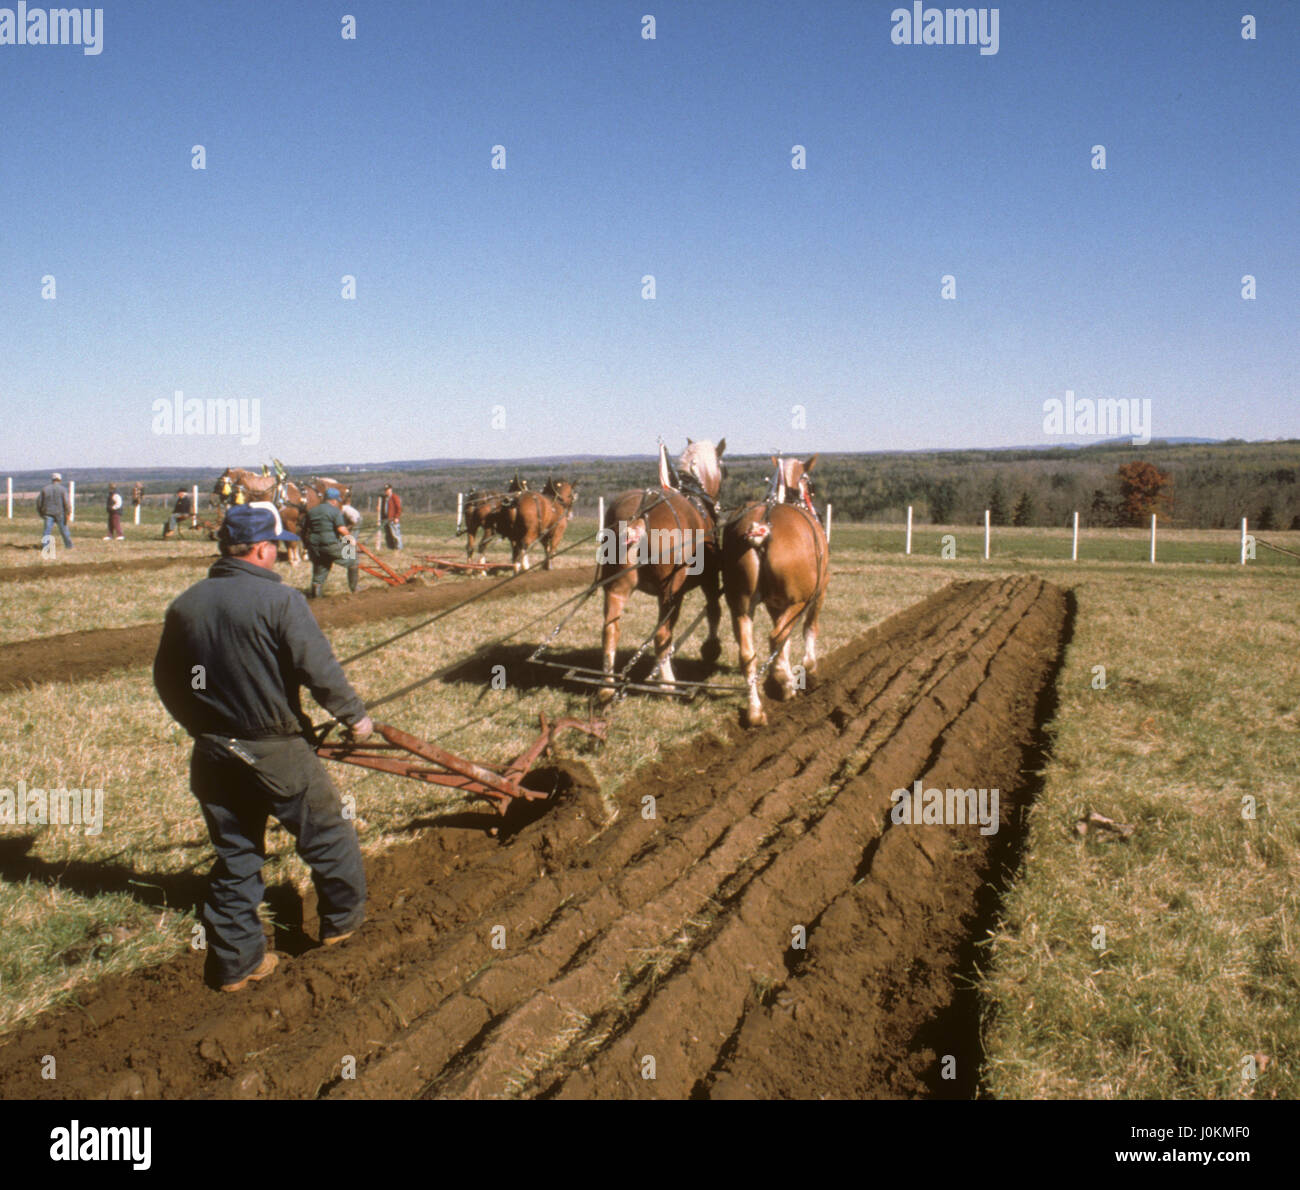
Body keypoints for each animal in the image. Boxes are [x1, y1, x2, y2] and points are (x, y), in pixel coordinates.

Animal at [600, 436, 733, 697]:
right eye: (724, 470)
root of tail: (638, 516)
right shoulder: (710, 578)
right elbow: (714, 610)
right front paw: (711, 649)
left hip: (617, 588)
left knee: (610, 629)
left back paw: (607, 686)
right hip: (670, 592)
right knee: (662, 634)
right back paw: (667, 683)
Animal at [717, 452, 826, 728]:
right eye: (810, 484)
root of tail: (761, 528)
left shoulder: (774, 604)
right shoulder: (818, 594)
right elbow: (808, 629)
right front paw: (809, 670)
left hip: (741, 606)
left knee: (748, 654)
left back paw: (755, 711)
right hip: (800, 600)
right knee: (776, 636)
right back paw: (785, 684)